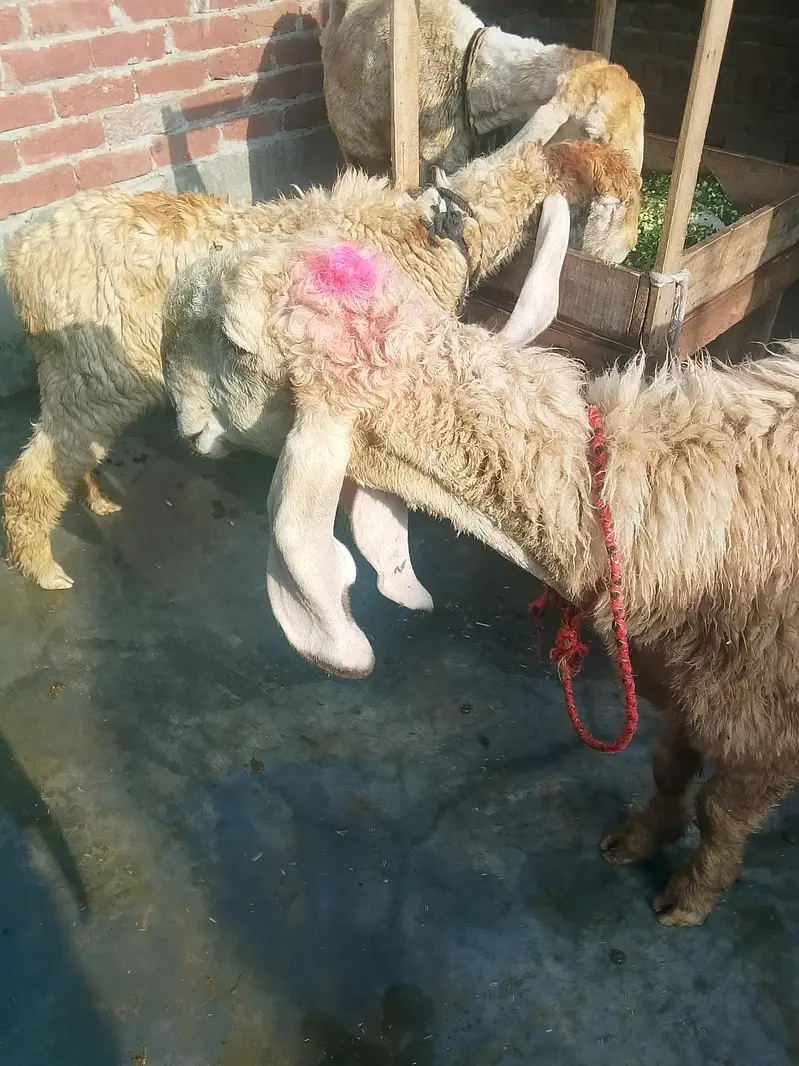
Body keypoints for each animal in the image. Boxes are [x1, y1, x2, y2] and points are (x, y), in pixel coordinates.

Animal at [2, 134, 640, 592]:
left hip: (75, 377)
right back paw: (44, 571)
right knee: (30, 476)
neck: (437, 235)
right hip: (93, 375)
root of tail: (23, 256)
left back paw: (97, 501)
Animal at [162, 230, 799, 927]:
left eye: (233, 342)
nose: (181, 416)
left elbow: (718, 814)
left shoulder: (765, 726)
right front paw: (639, 838)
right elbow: (669, 767)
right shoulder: (688, 689)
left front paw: (690, 896)